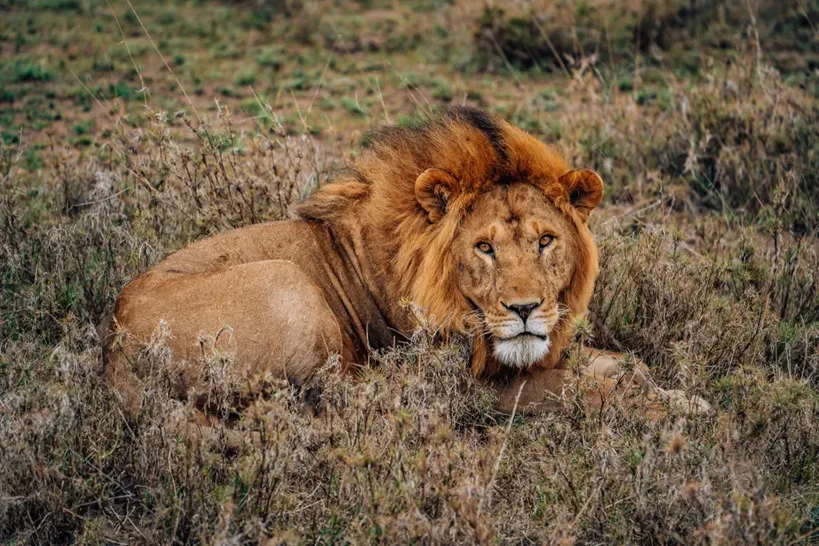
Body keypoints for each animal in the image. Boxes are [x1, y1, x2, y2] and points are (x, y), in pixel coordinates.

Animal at [102, 106, 708, 434]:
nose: (525, 310)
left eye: (545, 240)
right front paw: (674, 407)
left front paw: (663, 385)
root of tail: (113, 352)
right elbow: (578, 390)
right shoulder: (472, 384)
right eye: (484, 247)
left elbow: (615, 362)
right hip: (286, 282)